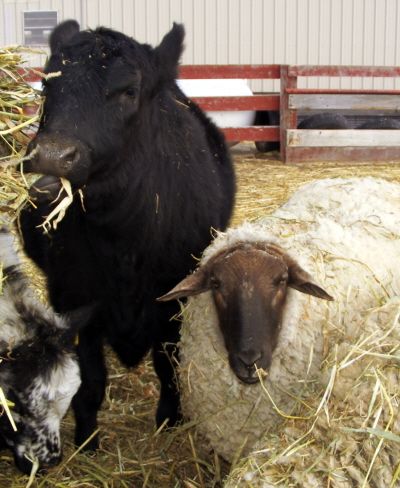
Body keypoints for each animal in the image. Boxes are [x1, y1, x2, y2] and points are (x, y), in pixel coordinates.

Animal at [18, 21, 236, 450]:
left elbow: (168, 364)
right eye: (47, 87)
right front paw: (86, 436)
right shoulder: (73, 296)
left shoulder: (174, 297)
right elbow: (90, 378)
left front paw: (170, 420)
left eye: (129, 91)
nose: (52, 156)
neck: (121, 239)